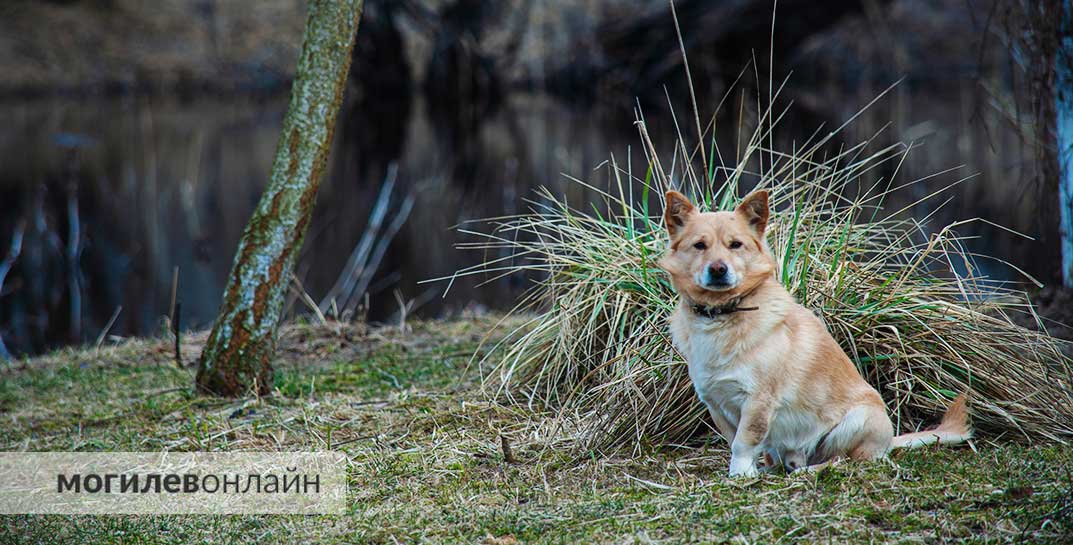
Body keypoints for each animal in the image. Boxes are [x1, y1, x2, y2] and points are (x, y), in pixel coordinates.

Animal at [652, 190, 974, 476]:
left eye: (735, 245)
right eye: (699, 245)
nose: (718, 269)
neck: (722, 315)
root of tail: (888, 441)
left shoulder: (758, 402)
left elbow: (744, 442)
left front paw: (740, 474)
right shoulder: (717, 405)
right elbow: (736, 441)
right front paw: (748, 470)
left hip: (856, 422)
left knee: (845, 460)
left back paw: (809, 470)